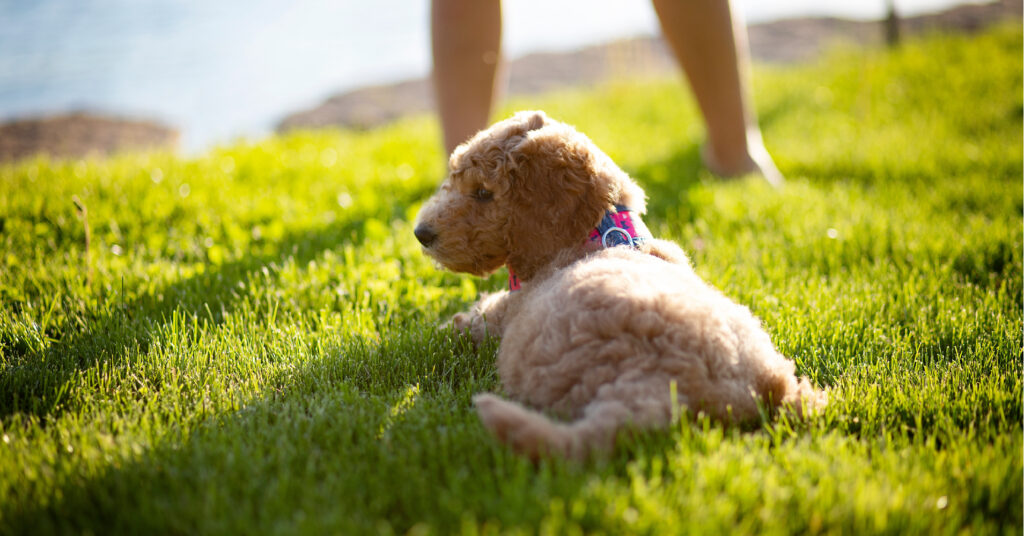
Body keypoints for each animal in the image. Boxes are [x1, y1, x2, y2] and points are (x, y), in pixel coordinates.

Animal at [413, 111, 823, 459]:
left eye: (484, 193)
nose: (421, 233)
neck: (601, 231)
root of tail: (662, 392)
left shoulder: (502, 313)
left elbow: (465, 321)